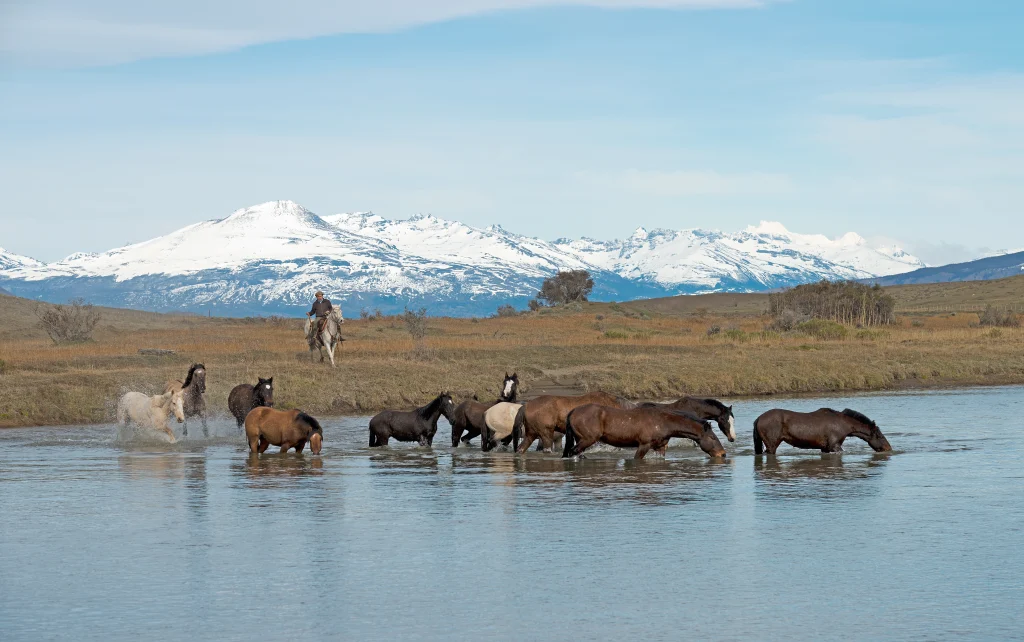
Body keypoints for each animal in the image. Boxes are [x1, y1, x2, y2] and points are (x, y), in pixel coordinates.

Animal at [563, 404, 727, 460]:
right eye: (712, 438)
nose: (723, 454)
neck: (664, 422)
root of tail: (572, 412)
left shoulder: (660, 447)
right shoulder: (644, 445)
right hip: (587, 439)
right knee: (572, 452)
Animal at [753, 408, 893, 454]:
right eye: (880, 436)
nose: (889, 448)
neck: (844, 425)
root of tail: (759, 418)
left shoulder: (825, 448)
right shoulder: (834, 446)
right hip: (772, 445)